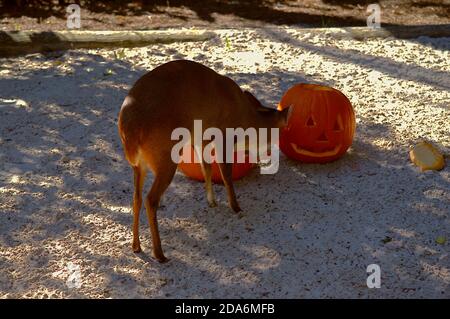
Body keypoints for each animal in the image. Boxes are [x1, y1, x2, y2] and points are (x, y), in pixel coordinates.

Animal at [118, 60, 290, 262]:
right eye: (281, 132)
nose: (271, 152)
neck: (245, 118)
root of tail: (130, 131)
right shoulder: (224, 135)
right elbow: (226, 174)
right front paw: (236, 207)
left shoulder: (201, 139)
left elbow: (206, 168)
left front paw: (212, 202)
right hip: (165, 157)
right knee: (150, 199)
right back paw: (160, 254)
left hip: (139, 165)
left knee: (136, 197)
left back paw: (136, 247)